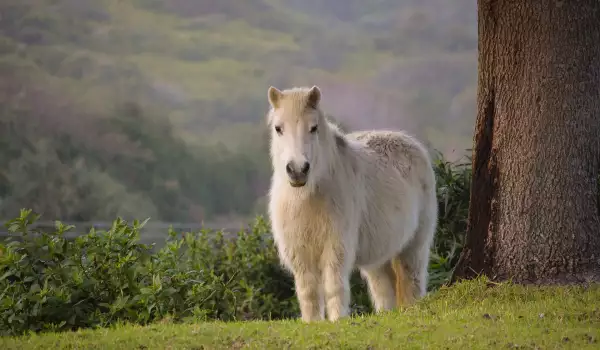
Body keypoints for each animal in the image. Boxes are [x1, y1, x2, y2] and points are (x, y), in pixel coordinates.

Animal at [264, 85, 438, 322]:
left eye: (313, 128)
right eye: (278, 128)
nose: (298, 170)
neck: (308, 197)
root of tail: (412, 144)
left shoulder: (335, 246)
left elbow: (333, 286)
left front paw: (337, 320)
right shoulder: (300, 252)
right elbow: (308, 292)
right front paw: (312, 322)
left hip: (413, 247)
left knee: (412, 281)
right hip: (379, 259)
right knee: (384, 290)